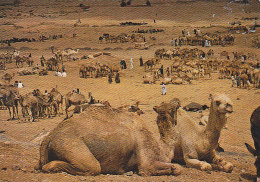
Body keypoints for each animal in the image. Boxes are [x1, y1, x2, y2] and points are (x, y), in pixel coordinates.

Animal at [37, 100, 183, 176]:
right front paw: (172, 169)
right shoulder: (146, 163)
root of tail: (49, 137)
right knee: (93, 167)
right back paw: (53, 167)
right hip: (69, 145)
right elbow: (175, 168)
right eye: (173, 108)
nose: (177, 101)